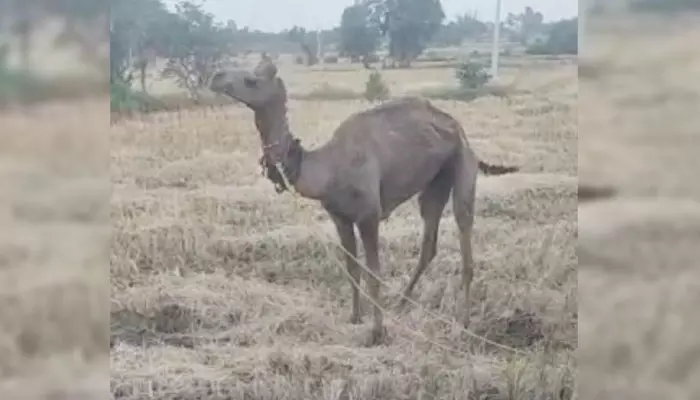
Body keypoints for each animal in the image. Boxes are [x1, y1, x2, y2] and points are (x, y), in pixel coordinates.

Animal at [211, 60, 524, 346]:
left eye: (251, 80)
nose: (216, 76)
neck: (326, 169)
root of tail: (457, 128)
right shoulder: (340, 217)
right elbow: (352, 268)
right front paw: (355, 317)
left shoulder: (369, 215)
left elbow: (374, 271)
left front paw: (377, 332)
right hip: (436, 181)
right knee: (429, 239)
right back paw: (402, 303)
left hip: (463, 163)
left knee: (463, 227)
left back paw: (463, 322)